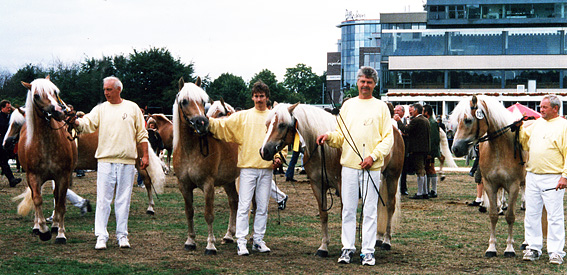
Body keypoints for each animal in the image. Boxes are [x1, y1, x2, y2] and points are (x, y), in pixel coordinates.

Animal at [15, 76, 77, 245]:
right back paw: (37, 227)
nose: (59, 111)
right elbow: (37, 200)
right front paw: (43, 231)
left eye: (55, 91)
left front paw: (60, 234)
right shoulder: (33, 177)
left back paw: (55, 226)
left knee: (57, 197)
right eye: (36, 95)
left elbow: (61, 204)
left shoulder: (62, 176)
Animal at [171, 76, 237, 256]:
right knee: (233, 202)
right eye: (184, 101)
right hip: (229, 181)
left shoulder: (208, 185)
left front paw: (210, 246)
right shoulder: (184, 185)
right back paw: (229, 236)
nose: (201, 123)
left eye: (202, 101)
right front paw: (190, 241)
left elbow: (209, 215)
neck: (190, 149)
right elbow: (189, 212)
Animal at [260, 102, 406, 258]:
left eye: (281, 124)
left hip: (392, 177)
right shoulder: (318, 186)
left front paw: (347, 247)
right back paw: (377, 238)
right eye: (267, 124)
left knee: (390, 206)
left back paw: (386, 241)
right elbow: (324, 215)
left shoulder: (342, 186)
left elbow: (344, 215)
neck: (323, 152)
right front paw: (323, 247)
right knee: (378, 206)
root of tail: (394, 130)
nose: (264, 151)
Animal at [452, 95, 528, 258]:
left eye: (468, 120)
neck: (500, 149)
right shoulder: (490, 185)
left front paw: (509, 248)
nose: (455, 149)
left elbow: (510, 216)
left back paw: (526, 242)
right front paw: (491, 248)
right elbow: (493, 215)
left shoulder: (514, 186)